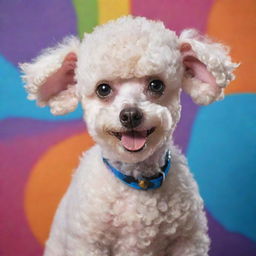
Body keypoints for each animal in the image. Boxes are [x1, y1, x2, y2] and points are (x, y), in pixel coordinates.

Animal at [20, 16, 238, 256]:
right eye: (103, 89)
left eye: (156, 84)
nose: (131, 115)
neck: (137, 181)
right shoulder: (88, 244)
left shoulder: (188, 242)